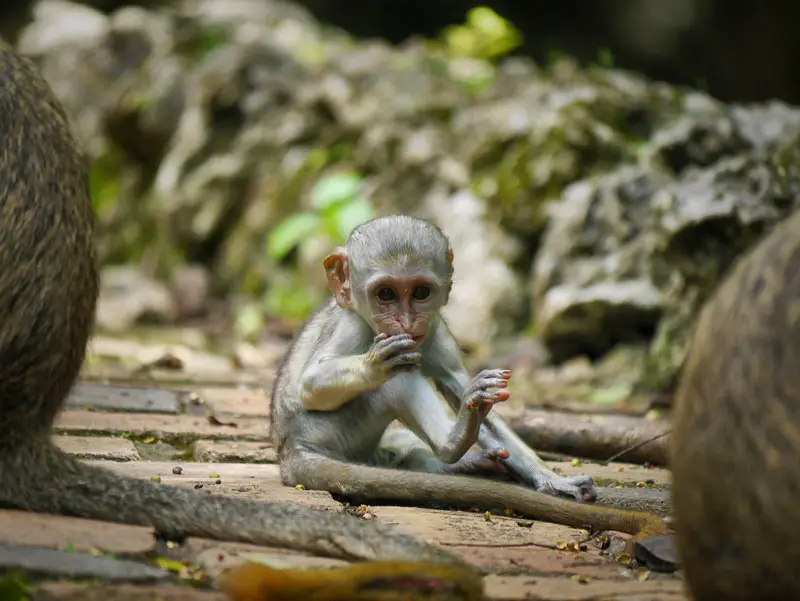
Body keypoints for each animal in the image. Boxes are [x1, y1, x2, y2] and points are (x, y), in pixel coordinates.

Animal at [272, 213, 596, 512]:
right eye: (386, 294)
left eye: (420, 293)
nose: (406, 322)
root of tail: (290, 450)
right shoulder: (351, 325)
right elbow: (310, 385)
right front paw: (375, 364)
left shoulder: (437, 328)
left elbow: (461, 388)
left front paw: (551, 479)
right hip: (329, 430)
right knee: (399, 379)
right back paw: (452, 444)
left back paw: (454, 458)